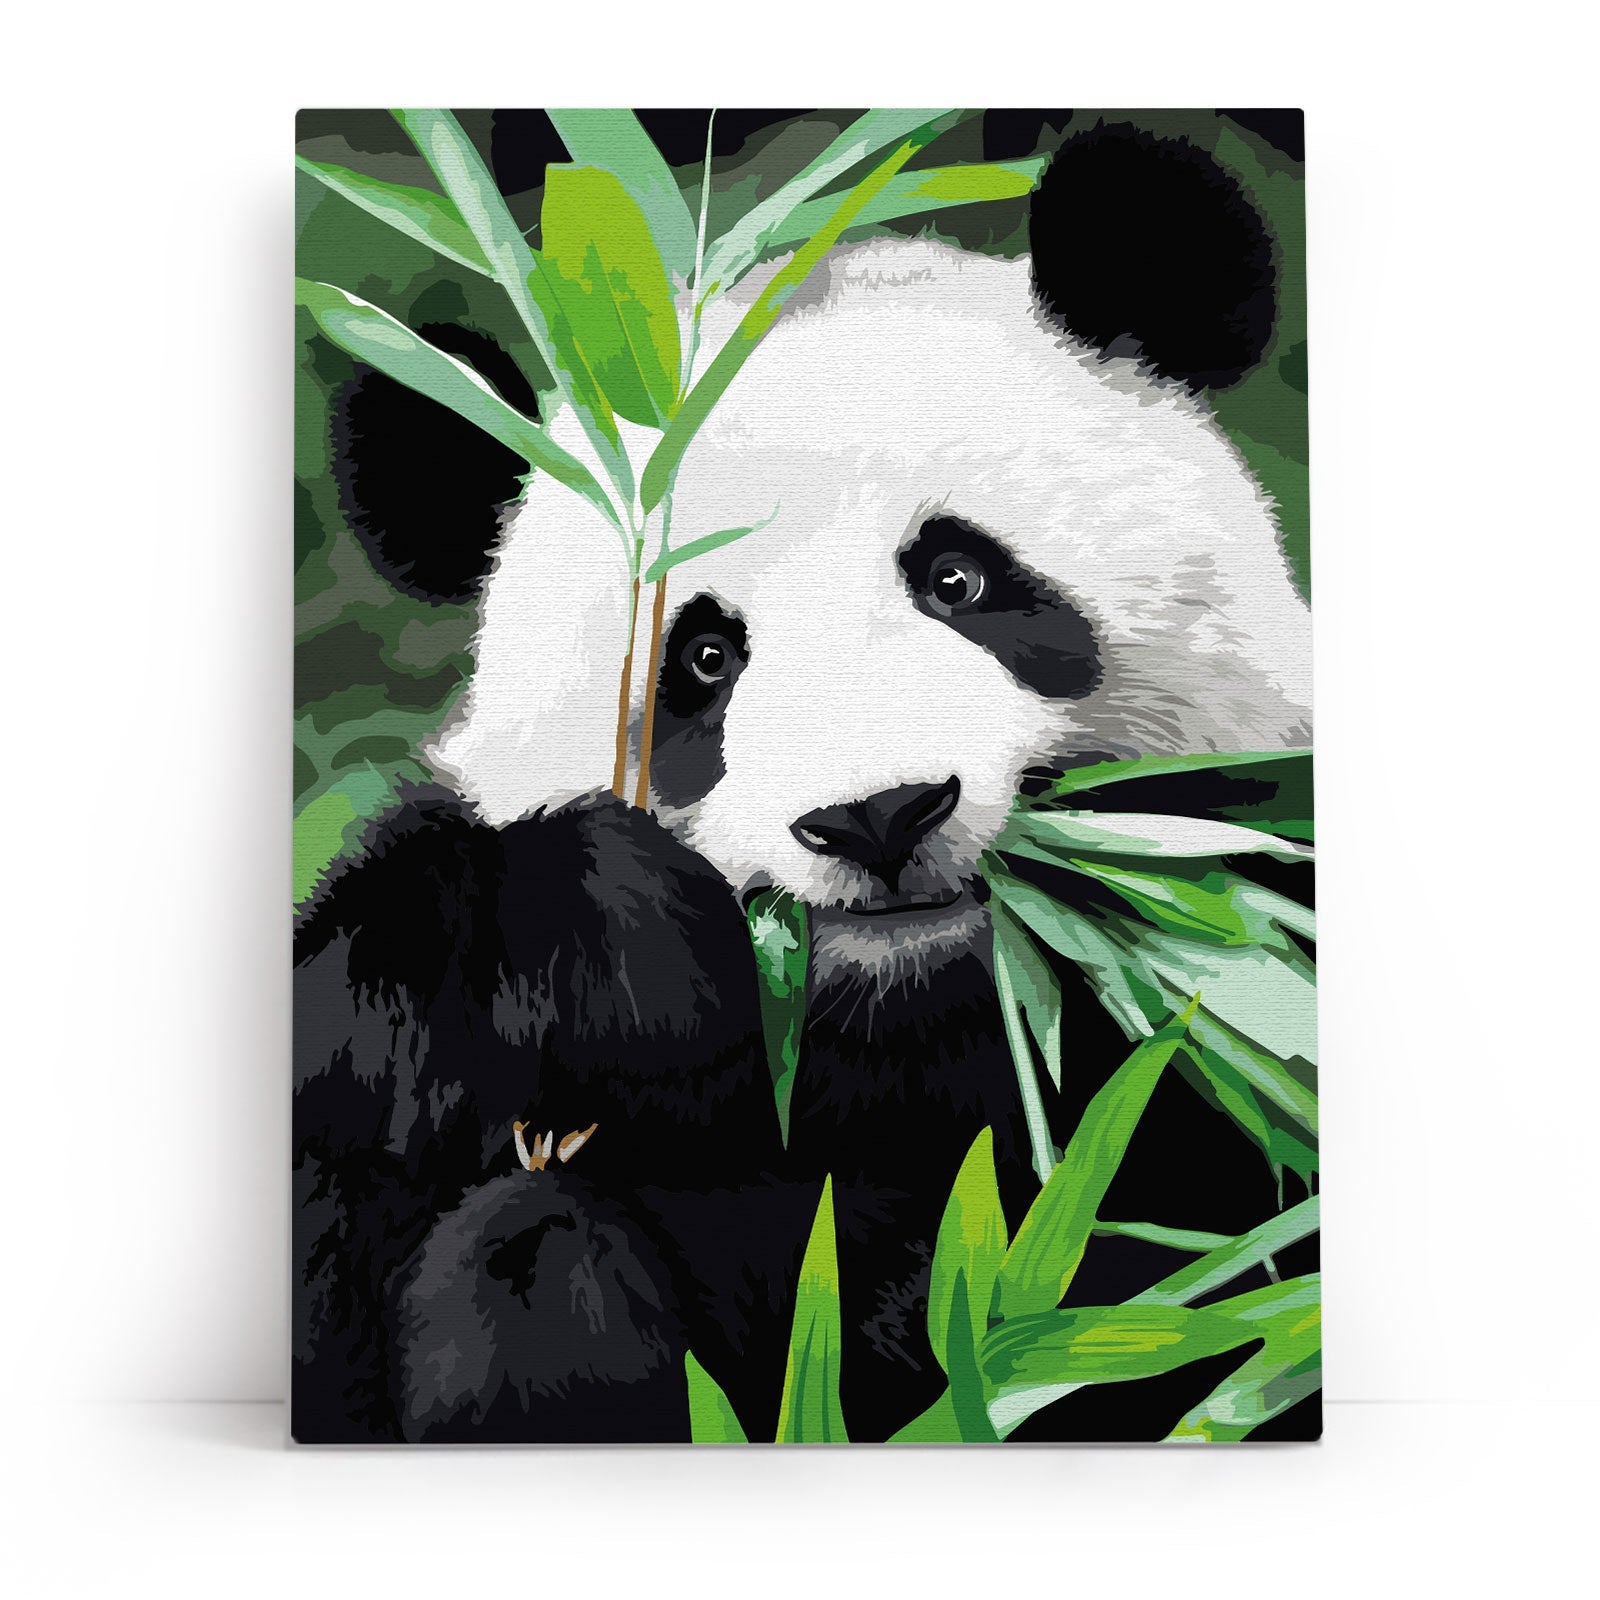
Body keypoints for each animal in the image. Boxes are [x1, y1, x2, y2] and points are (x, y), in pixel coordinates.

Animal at [294, 119, 1314, 1445]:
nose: (877, 815)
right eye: (703, 658)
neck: (895, 1033)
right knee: (529, 1249)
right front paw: (611, 939)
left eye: (956, 578)